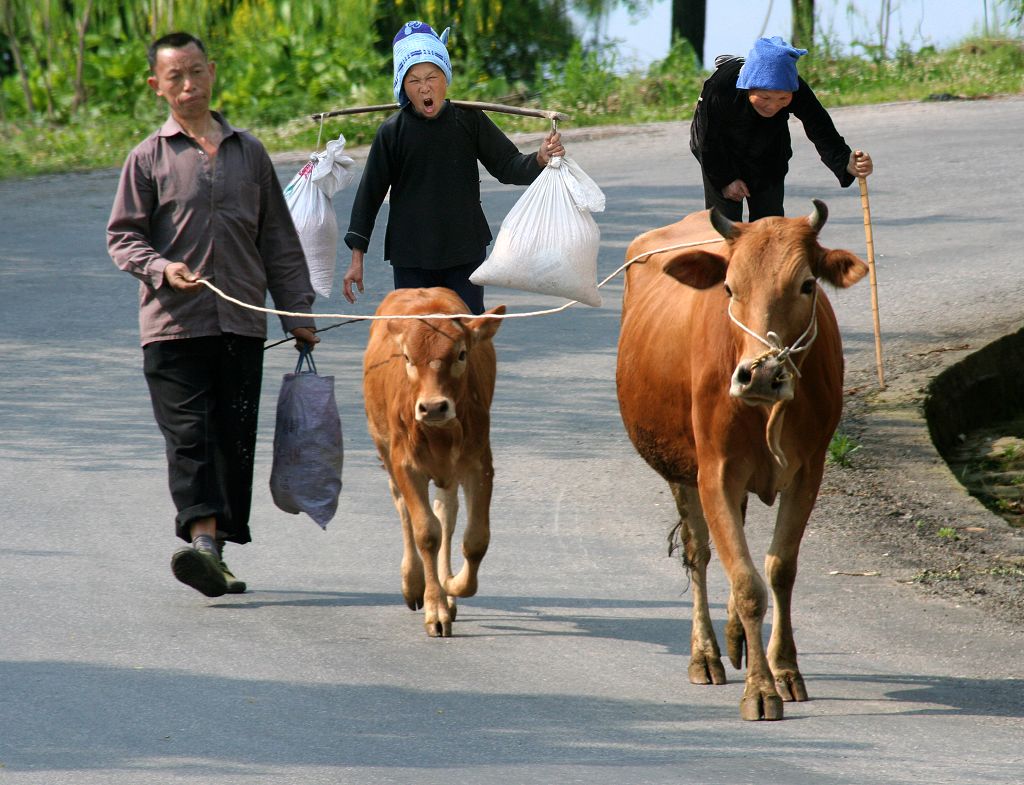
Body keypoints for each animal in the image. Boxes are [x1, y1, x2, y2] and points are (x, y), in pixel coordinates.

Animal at [364, 288, 503, 638]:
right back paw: (414, 584)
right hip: (384, 449)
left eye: (462, 354)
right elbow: (425, 533)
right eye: (408, 358)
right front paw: (435, 607)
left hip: (448, 474)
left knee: (447, 515)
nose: (433, 407)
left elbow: (475, 539)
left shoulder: (479, 464)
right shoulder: (405, 465)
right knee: (404, 510)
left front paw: (451, 586)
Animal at [614, 200, 864, 720]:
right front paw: (760, 690)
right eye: (729, 287)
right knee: (699, 553)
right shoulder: (714, 474)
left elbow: (779, 570)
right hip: (680, 469)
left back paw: (734, 641)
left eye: (807, 285)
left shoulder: (808, 473)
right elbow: (747, 583)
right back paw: (705, 654)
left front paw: (784, 670)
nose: (760, 375)